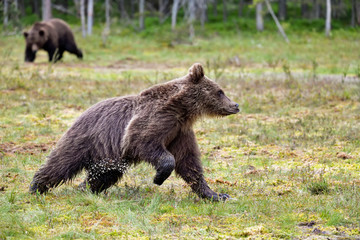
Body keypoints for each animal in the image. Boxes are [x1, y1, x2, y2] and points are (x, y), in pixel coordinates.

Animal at [30, 63, 239, 201]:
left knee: (104, 175)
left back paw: (85, 189)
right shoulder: (155, 121)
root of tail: (82, 113)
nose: (236, 105)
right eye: (220, 91)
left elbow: (189, 162)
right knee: (61, 163)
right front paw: (158, 177)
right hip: (85, 139)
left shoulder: (179, 132)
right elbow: (145, 143)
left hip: (107, 156)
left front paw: (217, 194)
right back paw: (36, 188)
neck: (182, 110)